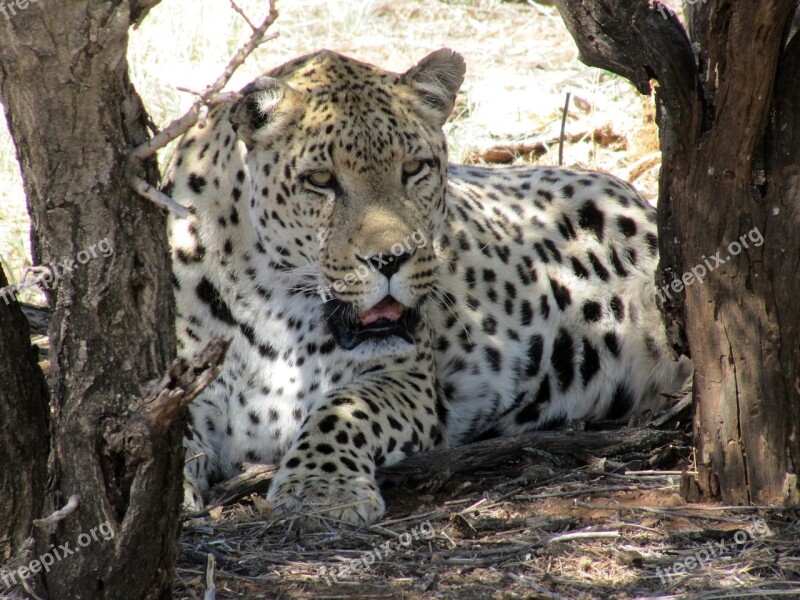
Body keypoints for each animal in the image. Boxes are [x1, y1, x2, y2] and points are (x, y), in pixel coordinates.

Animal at [170, 49, 692, 528]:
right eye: (320, 180)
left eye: (414, 168)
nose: (390, 259)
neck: (273, 305)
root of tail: (637, 197)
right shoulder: (184, 383)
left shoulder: (408, 378)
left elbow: (341, 412)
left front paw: (321, 488)